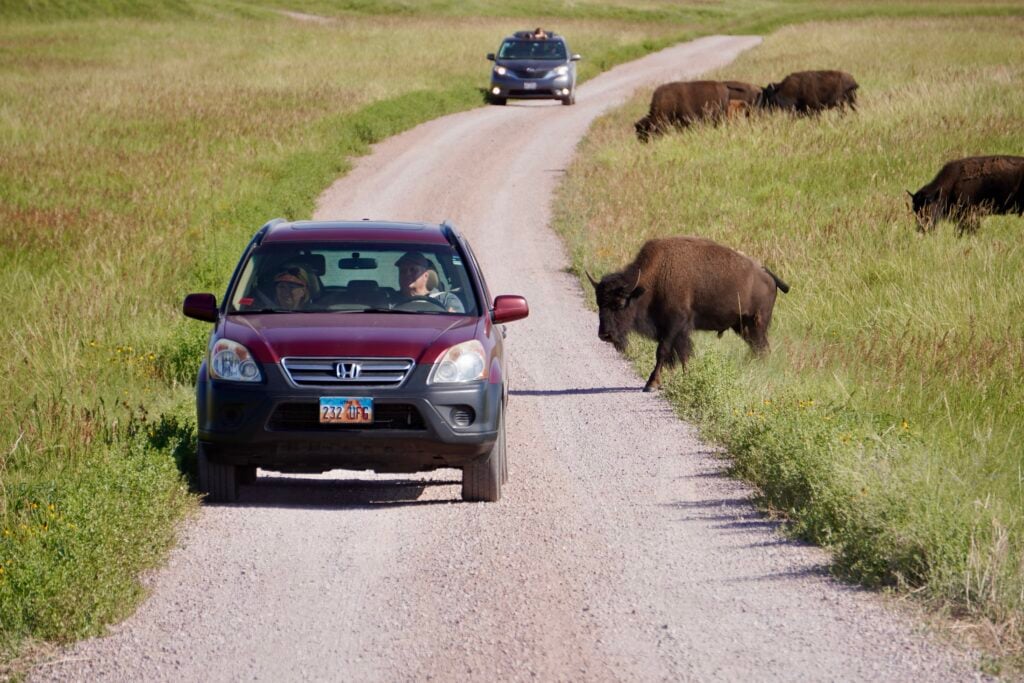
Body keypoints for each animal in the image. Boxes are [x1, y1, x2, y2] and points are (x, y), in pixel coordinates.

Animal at [588, 237, 790, 392]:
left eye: (620, 303)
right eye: (599, 303)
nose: (605, 335)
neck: (652, 280)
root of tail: (768, 275)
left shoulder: (674, 325)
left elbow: (663, 351)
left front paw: (651, 384)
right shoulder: (678, 330)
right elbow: (683, 353)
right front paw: (687, 377)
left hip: (756, 324)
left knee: (762, 349)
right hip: (744, 327)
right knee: (759, 350)